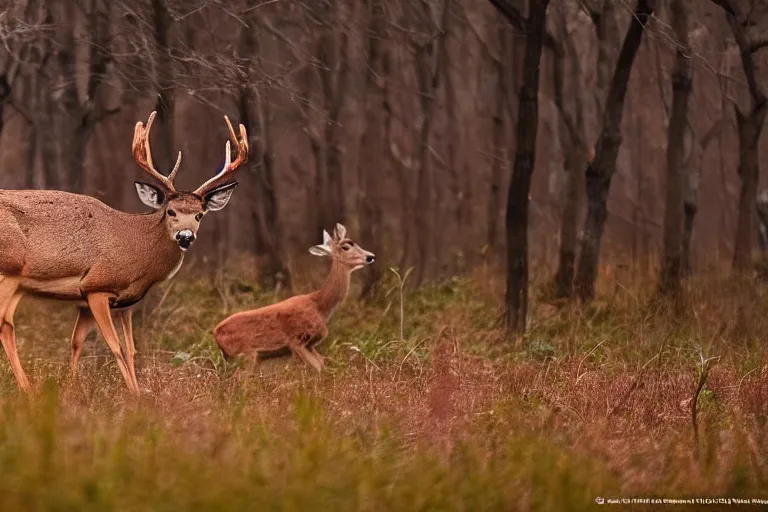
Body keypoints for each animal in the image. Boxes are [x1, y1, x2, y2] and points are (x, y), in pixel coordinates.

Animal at [0, 110, 248, 394]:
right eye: (170, 211)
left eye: (199, 215)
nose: (185, 236)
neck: (135, 248)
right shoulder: (96, 286)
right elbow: (115, 346)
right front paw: (130, 393)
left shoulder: (120, 302)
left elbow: (107, 347)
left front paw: (81, 390)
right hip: (10, 269)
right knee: (4, 323)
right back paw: (27, 390)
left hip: (19, 284)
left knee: (7, 324)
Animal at [213, 224, 376, 372]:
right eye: (345, 247)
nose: (371, 257)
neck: (320, 306)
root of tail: (215, 333)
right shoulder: (297, 340)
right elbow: (318, 370)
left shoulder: (310, 345)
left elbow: (322, 365)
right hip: (245, 353)